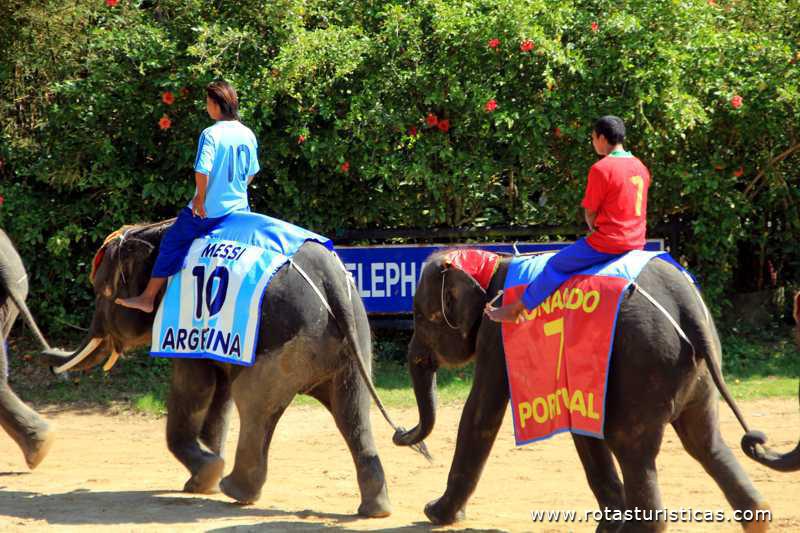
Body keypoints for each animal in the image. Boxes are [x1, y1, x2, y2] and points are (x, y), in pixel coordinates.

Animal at [44, 219, 396, 516]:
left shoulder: (183, 321)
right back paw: (375, 510)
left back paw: (235, 490)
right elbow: (219, 394)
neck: (156, 232)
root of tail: (332, 280)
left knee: (254, 402)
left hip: (284, 342)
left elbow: (195, 387)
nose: (49, 362)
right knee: (351, 410)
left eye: (102, 293)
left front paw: (207, 473)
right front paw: (201, 481)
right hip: (352, 343)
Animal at [393, 249, 769, 532]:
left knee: (632, 445)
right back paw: (757, 515)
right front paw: (609, 523)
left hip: (646, 361)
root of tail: (688, 305)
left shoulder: (496, 333)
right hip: (697, 372)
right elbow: (581, 426)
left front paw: (434, 513)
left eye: (420, 317)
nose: (400, 434)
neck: (495, 263)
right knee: (705, 442)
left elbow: (481, 413)